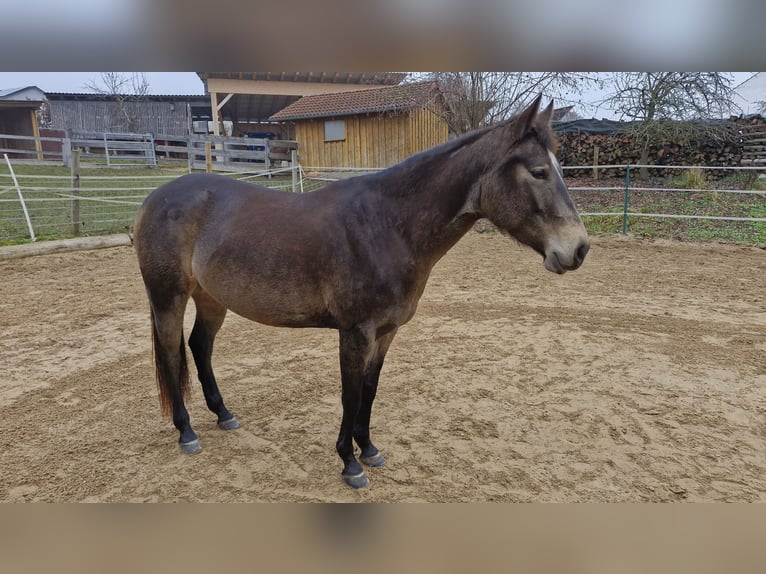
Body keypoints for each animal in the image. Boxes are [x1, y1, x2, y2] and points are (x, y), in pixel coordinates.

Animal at [133, 95, 589, 489]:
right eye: (538, 172)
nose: (579, 249)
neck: (387, 226)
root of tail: (152, 200)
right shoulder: (355, 332)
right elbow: (349, 394)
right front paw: (349, 464)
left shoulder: (386, 332)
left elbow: (369, 391)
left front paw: (368, 449)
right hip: (168, 298)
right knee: (173, 354)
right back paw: (187, 432)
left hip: (212, 298)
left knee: (200, 347)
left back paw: (224, 414)